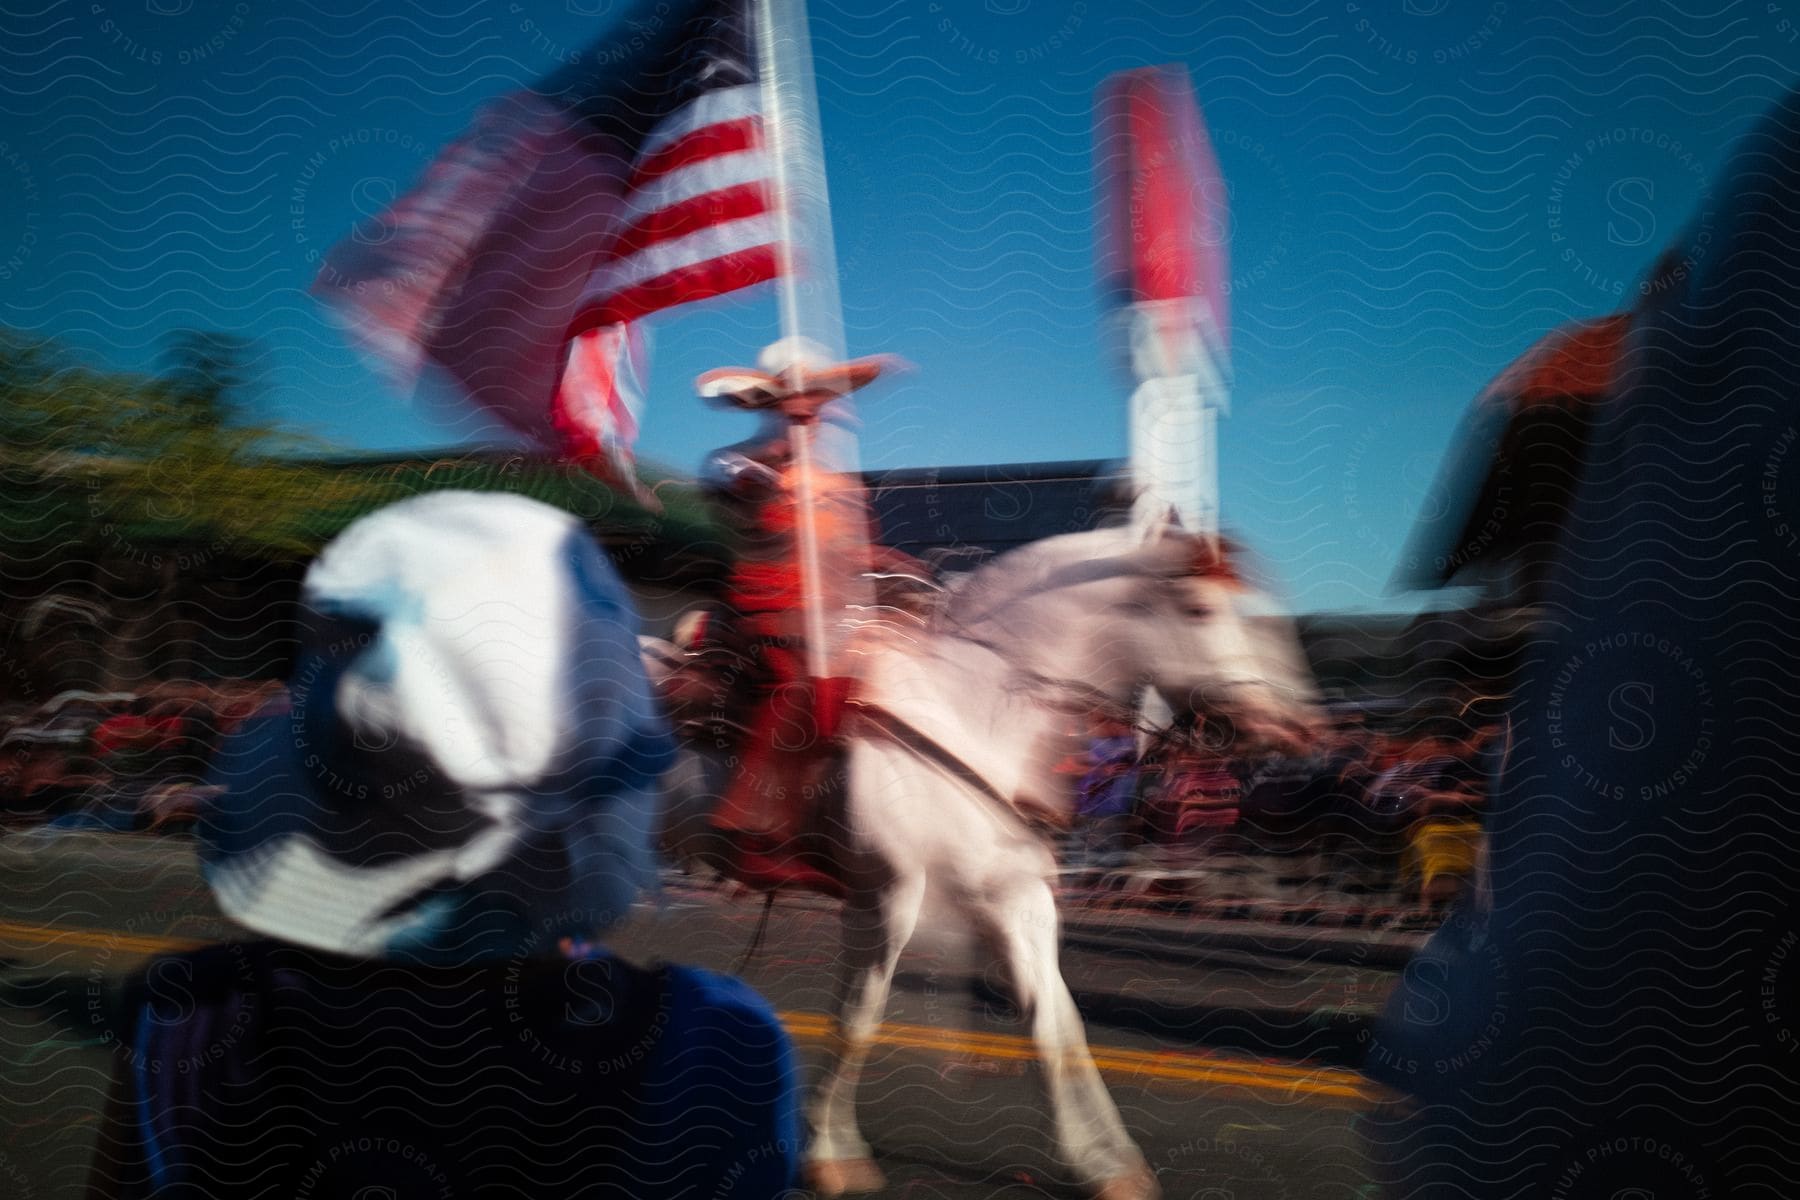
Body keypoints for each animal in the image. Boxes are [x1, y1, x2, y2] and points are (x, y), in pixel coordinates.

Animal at [651, 528, 1324, 1200]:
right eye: (1199, 610)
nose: (1302, 726)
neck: (968, 717)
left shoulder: (1015, 897)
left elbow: (1058, 1027)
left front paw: (1106, 1163)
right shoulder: (886, 898)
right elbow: (858, 1017)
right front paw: (832, 1155)